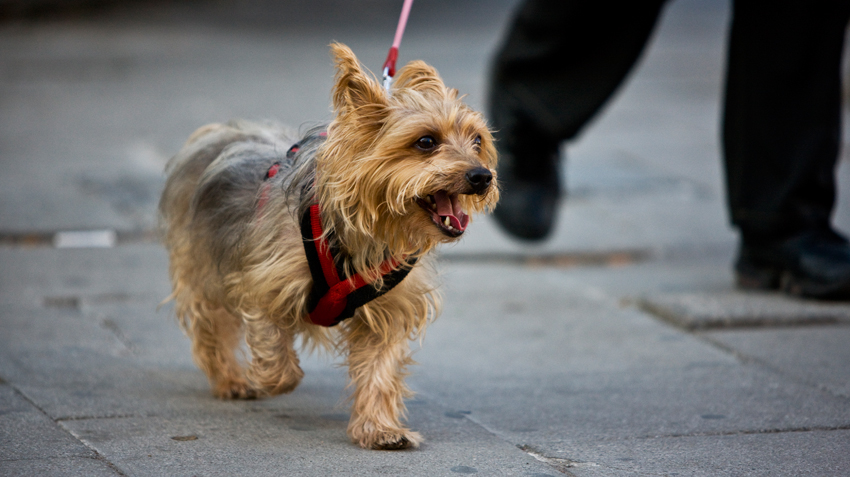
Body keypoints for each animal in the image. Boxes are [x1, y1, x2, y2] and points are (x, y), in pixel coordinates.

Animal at [159, 42, 496, 448]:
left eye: (477, 141)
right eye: (426, 141)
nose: (482, 176)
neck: (371, 230)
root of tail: (219, 131)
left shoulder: (389, 311)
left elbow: (380, 370)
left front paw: (379, 429)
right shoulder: (262, 282)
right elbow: (276, 356)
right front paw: (266, 377)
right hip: (203, 263)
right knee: (211, 327)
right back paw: (232, 379)